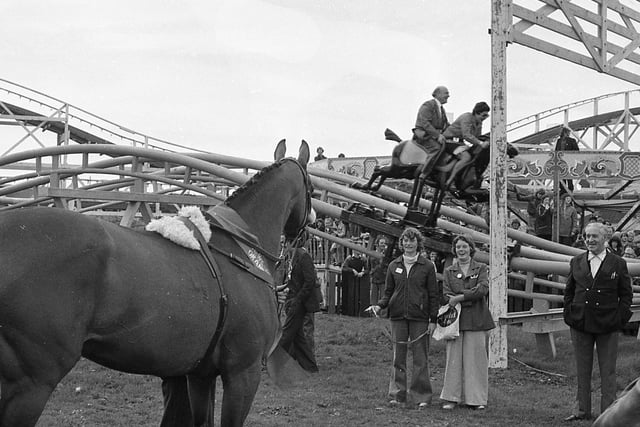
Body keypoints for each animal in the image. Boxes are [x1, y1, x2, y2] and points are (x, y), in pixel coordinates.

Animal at [0, 141, 316, 427]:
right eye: (311, 188)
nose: (310, 225)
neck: (241, 247)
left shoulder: (200, 375)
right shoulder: (243, 373)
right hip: (32, 384)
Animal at [352, 128, 516, 226]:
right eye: (502, 140)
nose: (515, 150)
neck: (474, 164)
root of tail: (401, 143)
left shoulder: (463, 193)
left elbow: (485, 195)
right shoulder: (460, 191)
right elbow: (485, 193)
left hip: (404, 172)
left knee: (381, 171)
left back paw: (368, 187)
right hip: (399, 168)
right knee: (378, 170)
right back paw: (363, 186)